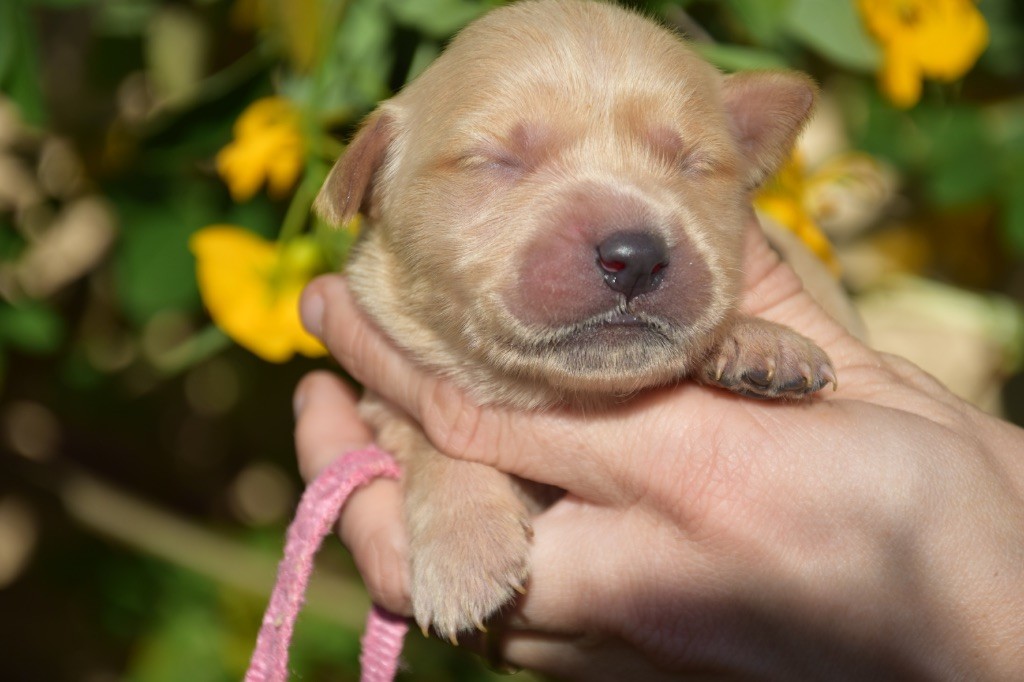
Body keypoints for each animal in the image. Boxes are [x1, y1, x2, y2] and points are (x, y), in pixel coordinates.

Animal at [315, 0, 837, 642]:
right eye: (494, 161)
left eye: (694, 164)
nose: (635, 256)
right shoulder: (387, 395)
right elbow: (432, 447)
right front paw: (463, 550)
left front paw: (758, 339)